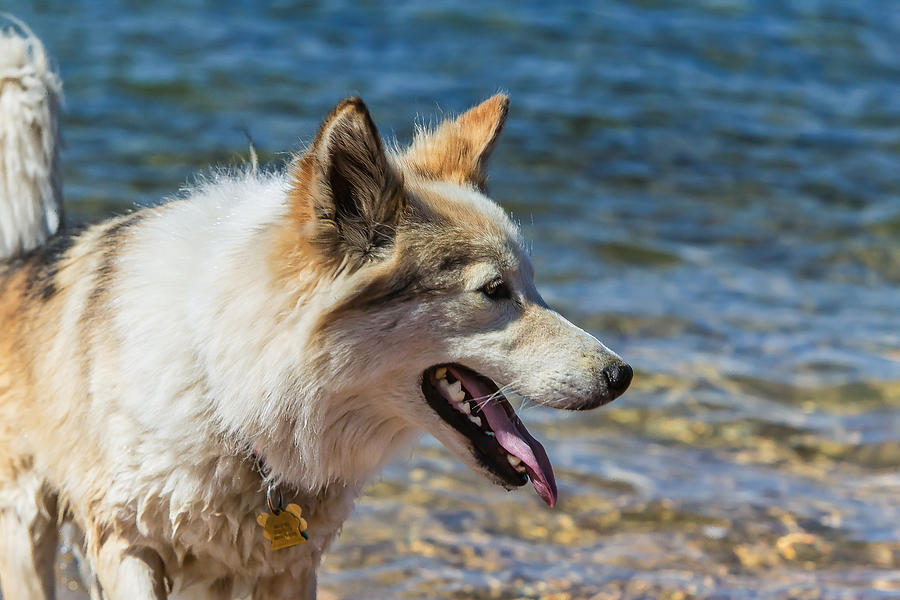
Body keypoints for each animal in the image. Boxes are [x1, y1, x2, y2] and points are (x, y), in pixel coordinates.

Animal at [0, 19, 632, 600]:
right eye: (494, 291)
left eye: (534, 284)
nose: (622, 375)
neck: (236, 393)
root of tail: (25, 252)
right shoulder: (126, 541)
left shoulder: (287, 571)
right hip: (27, 529)